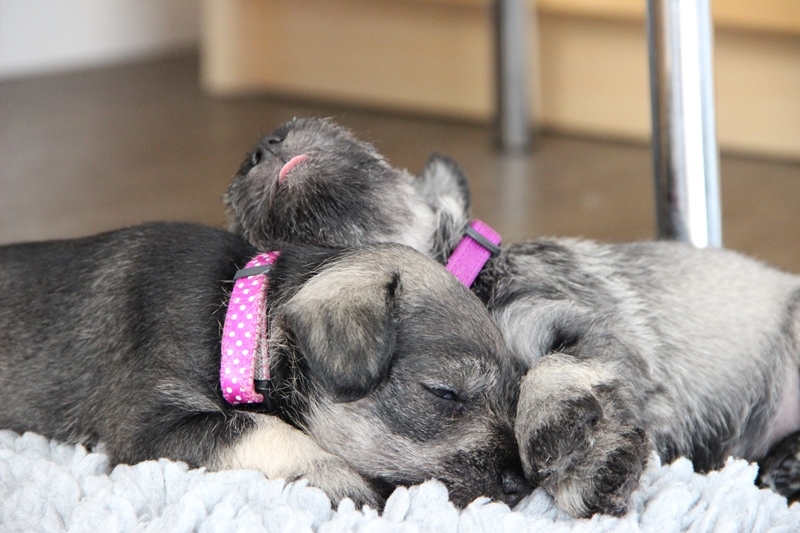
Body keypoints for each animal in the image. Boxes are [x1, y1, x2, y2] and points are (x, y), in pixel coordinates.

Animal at [0, 222, 532, 510]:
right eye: (445, 393)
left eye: (515, 394)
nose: (522, 483)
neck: (240, 320)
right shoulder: (149, 430)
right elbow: (260, 427)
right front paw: (347, 482)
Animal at [223, 116, 800, 516]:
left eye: (365, 148)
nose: (263, 144)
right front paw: (597, 463)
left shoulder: (585, 327)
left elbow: (551, 370)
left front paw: (565, 441)